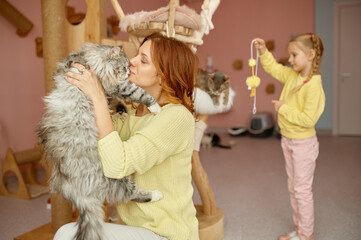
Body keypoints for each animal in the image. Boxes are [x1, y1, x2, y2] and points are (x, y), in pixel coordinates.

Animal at [37, 42, 162, 240]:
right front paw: (156, 107)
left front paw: (121, 111)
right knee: (132, 194)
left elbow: (118, 101)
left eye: (130, 67)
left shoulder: (109, 90)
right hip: (115, 178)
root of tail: (79, 195)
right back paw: (157, 195)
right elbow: (139, 93)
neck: (88, 57)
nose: (129, 73)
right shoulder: (117, 85)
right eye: (124, 67)